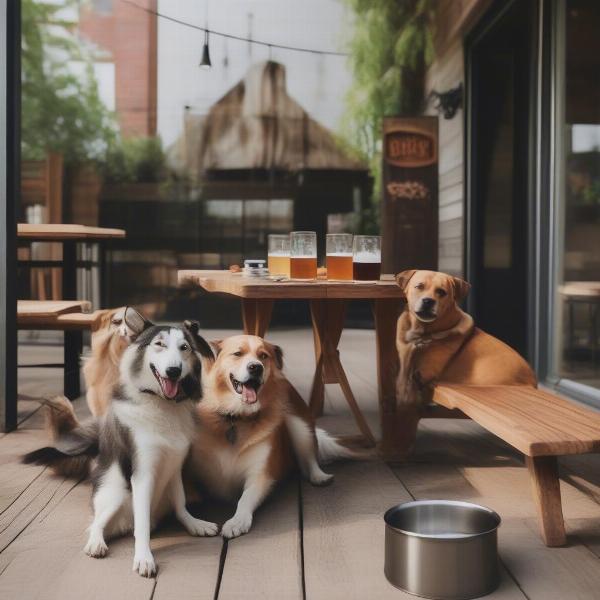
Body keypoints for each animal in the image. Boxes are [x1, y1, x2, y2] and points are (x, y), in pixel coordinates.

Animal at [27, 318, 218, 576]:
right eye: (159, 344)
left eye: (184, 347)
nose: (174, 371)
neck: (161, 404)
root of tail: (123, 524)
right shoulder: (143, 474)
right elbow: (142, 526)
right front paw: (144, 557)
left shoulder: (174, 468)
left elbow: (181, 503)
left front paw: (195, 524)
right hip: (117, 494)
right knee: (97, 524)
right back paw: (96, 543)